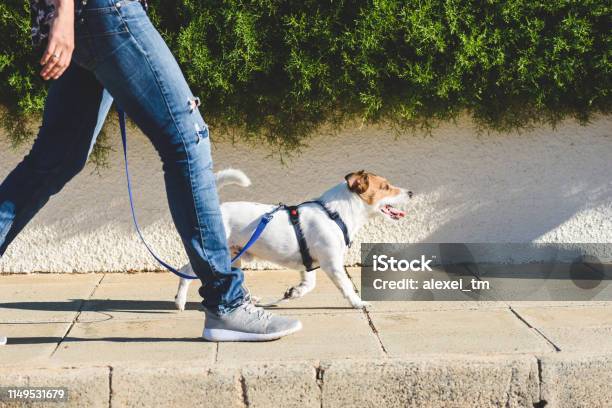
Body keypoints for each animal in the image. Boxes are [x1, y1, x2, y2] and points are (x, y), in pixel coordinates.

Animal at [173, 169, 412, 310]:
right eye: (385, 187)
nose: (411, 193)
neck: (335, 214)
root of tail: (217, 211)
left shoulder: (309, 264)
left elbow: (309, 284)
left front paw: (294, 293)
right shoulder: (332, 263)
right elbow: (346, 285)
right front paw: (358, 302)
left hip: (234, 256)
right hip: (214, 255)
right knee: (185, 272)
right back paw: (180, 301)